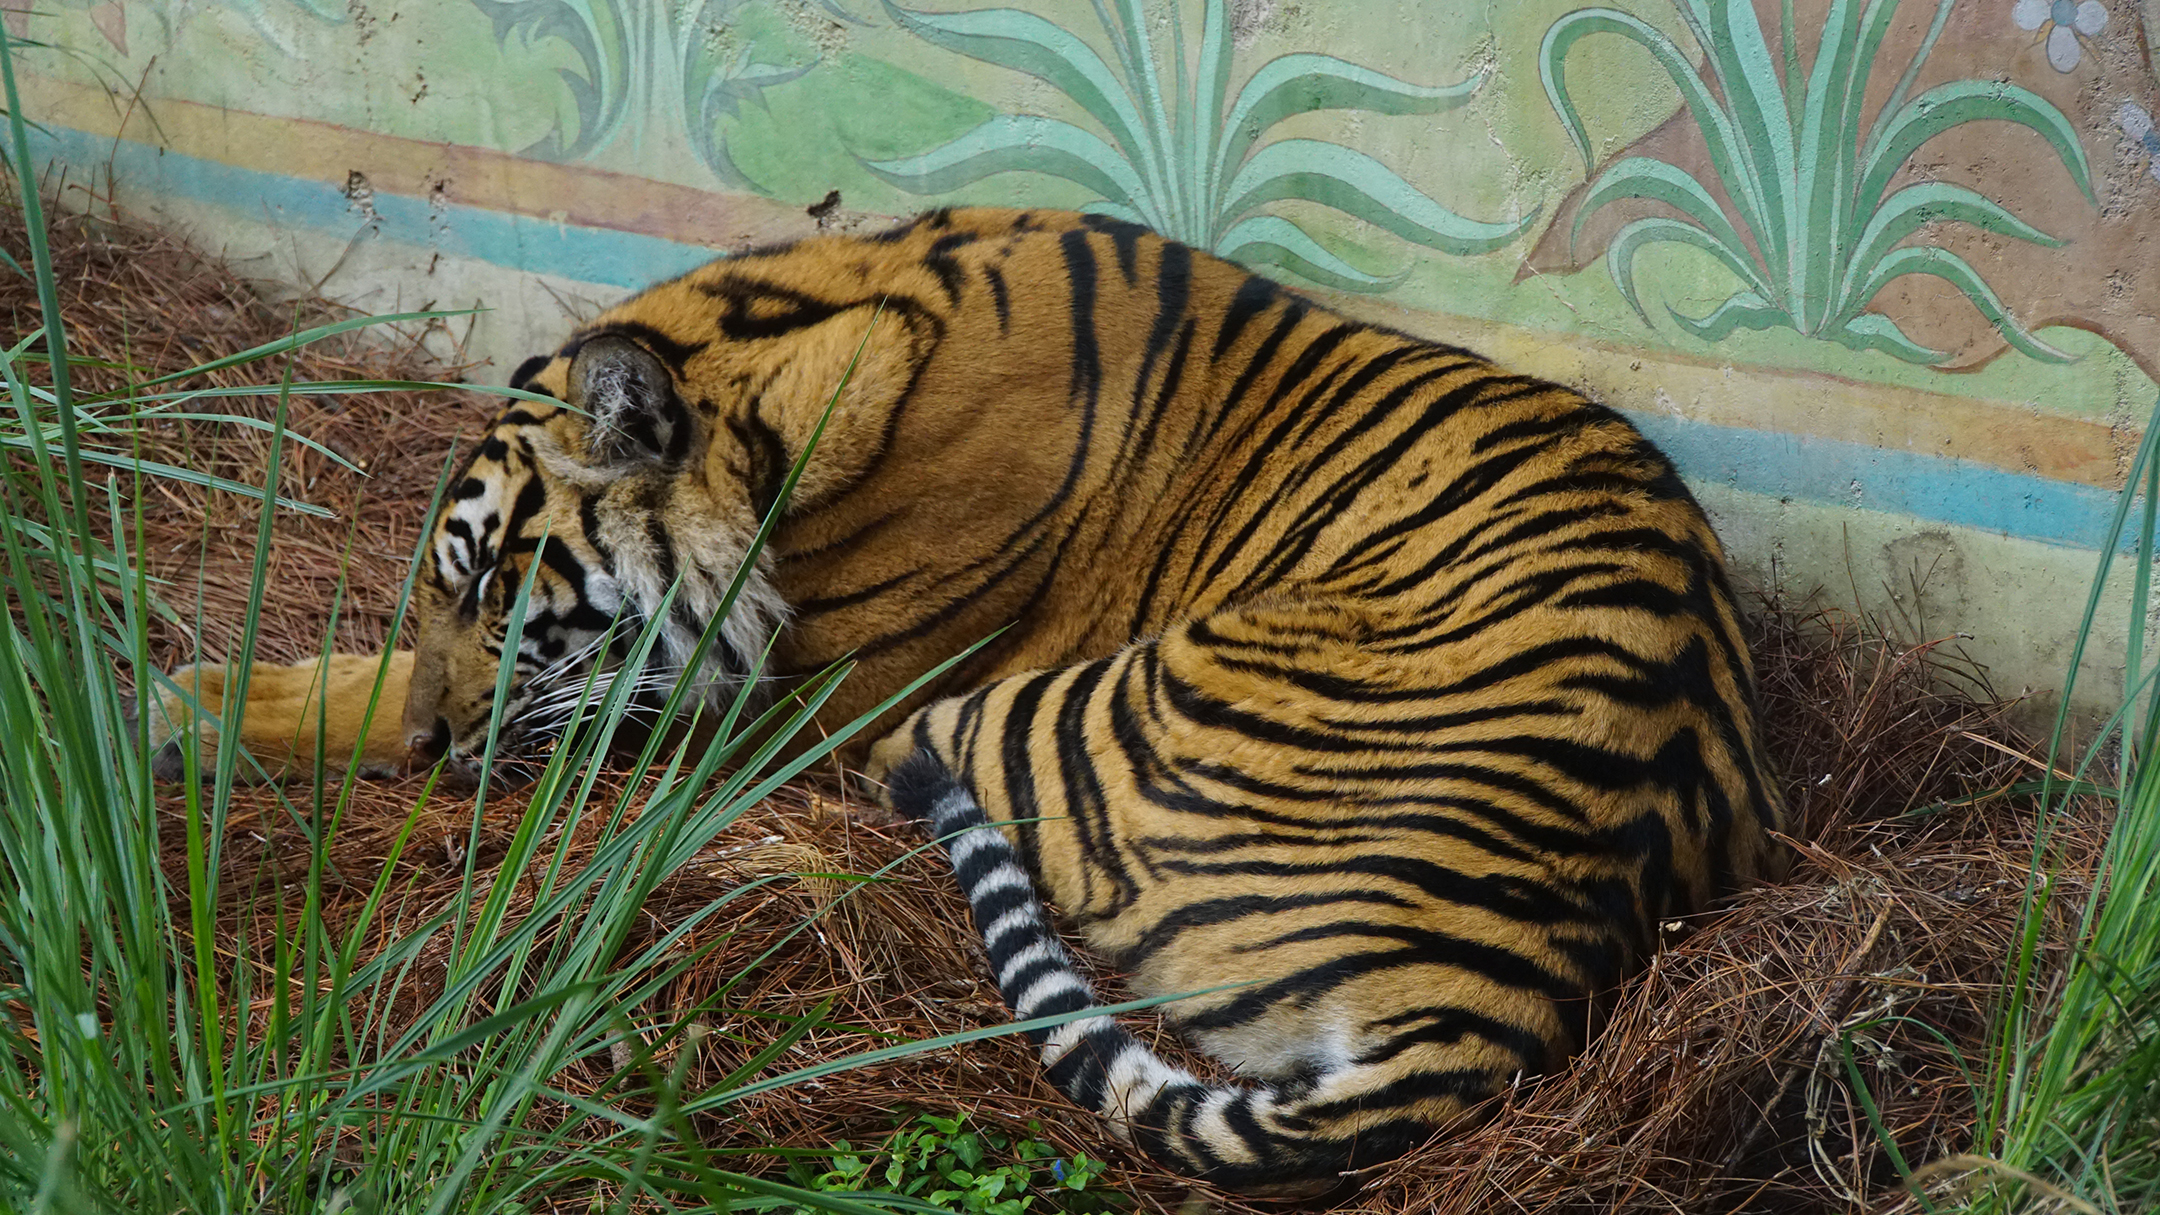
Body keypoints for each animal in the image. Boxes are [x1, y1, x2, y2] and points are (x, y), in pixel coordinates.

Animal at [144, 206, 1788, 1194]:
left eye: (493, 588)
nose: (437, 749)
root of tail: (1522, 968)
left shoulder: (782, 703)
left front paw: (201, 707)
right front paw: (216, 694)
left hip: (1038, 714)